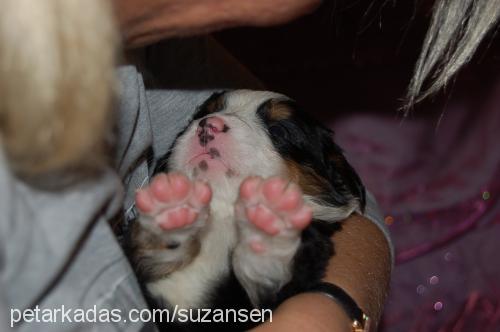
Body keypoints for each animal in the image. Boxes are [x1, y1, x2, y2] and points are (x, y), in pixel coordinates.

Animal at [127, 89, 366, 330]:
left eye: (279, 131)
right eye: (203, 114)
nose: (210, 124)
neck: (223, 212)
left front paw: (271, 224)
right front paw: (169, 212)